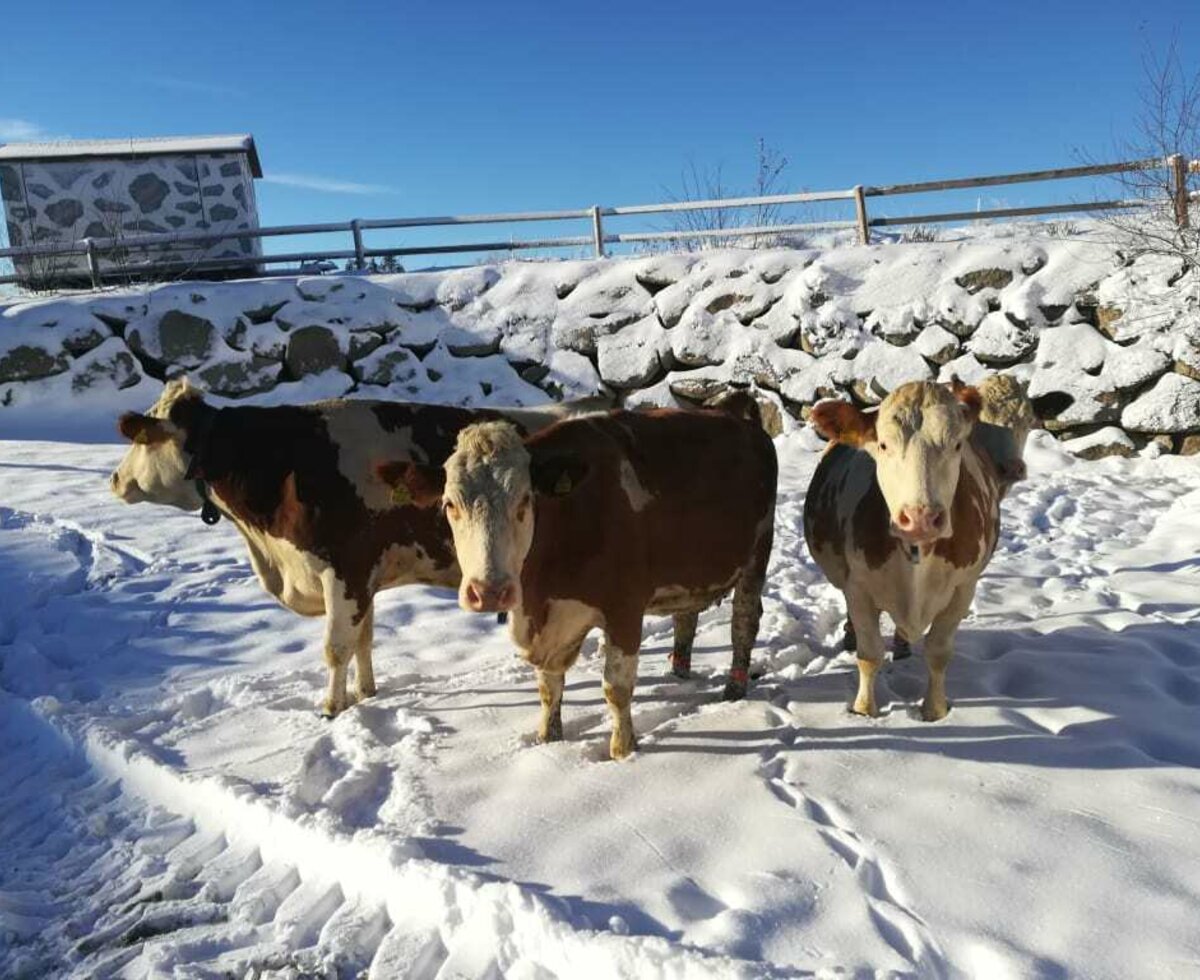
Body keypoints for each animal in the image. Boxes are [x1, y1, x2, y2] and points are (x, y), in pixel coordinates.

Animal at [106, 379, 600, 714]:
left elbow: (336, 647)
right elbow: (363, 639)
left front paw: (331, 707)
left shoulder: (343, 570)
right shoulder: (364, 577)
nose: (113, 479)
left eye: (142, 439)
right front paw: (366, 693)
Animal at [379, 393, 782, 762]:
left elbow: (616, 688)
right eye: (450, 504)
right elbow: (549, 687)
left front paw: (623, 752)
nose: (489, 591)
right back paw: (678, 674)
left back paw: (734, 688)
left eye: (525, 500)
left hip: (756, 557)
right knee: (686, 617)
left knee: (744, 622)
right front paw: (549, 739)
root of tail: (734, 411)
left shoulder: (624, 608)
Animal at [801, 379, 1027, 724]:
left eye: (957, 445)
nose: (920, 517)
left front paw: (934, 710)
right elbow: (870, 654)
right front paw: (864, 710)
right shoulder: (859, 588)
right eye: (883, 445)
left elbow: (938, 652)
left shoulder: (963, 589)